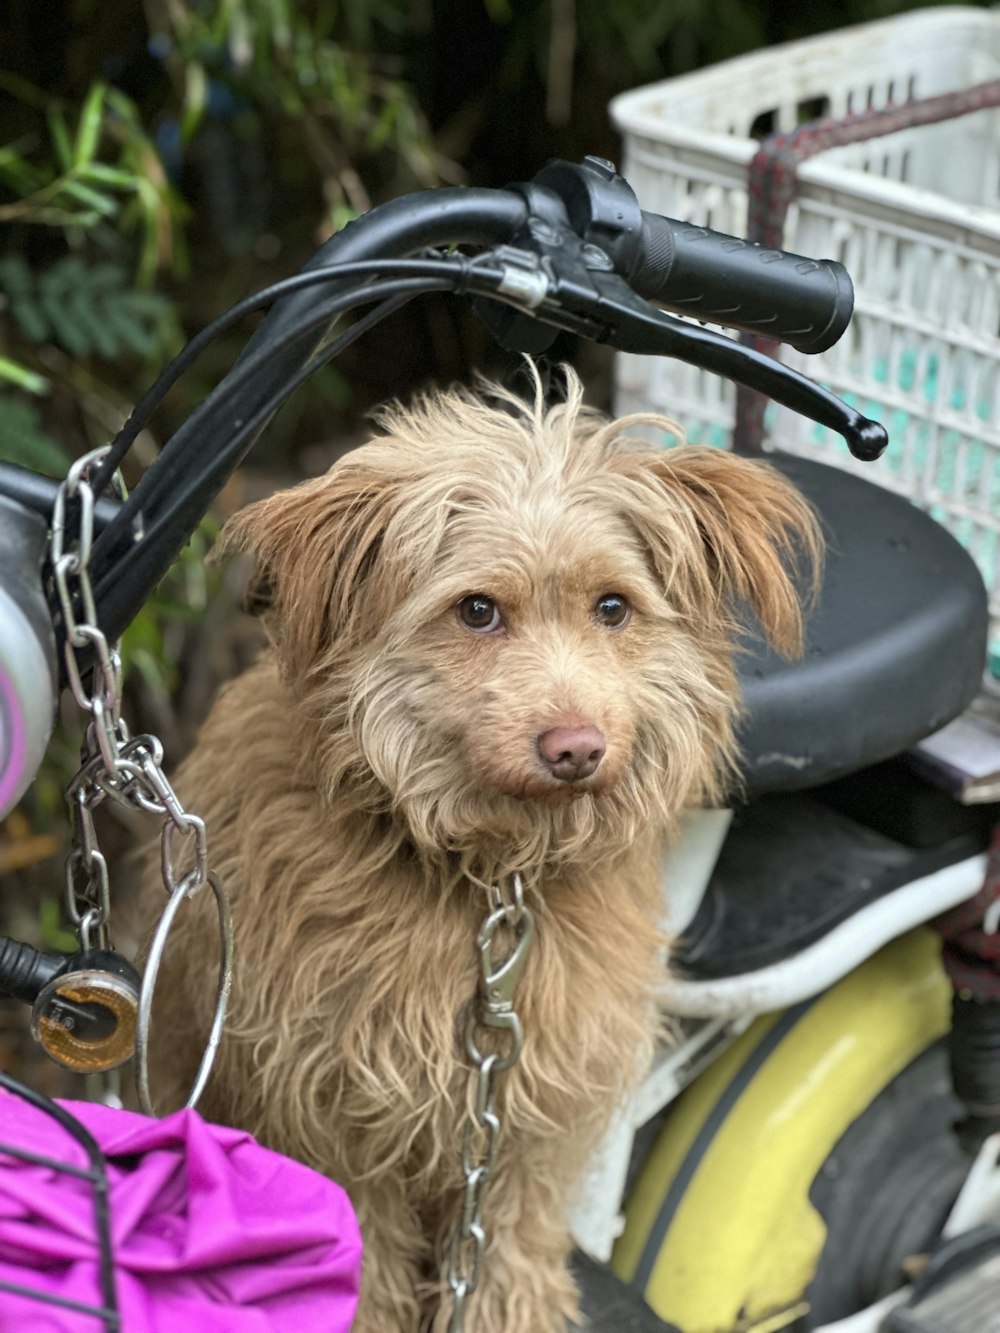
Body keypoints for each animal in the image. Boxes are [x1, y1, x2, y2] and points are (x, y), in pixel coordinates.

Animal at [146, 365, 821, 1333]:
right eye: (476, 610)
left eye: (612, 606)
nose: (576, 748)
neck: (492, 879)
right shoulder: (332, 1110)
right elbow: (364, 1254)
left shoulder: (531, 1113)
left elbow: (512, 1243)